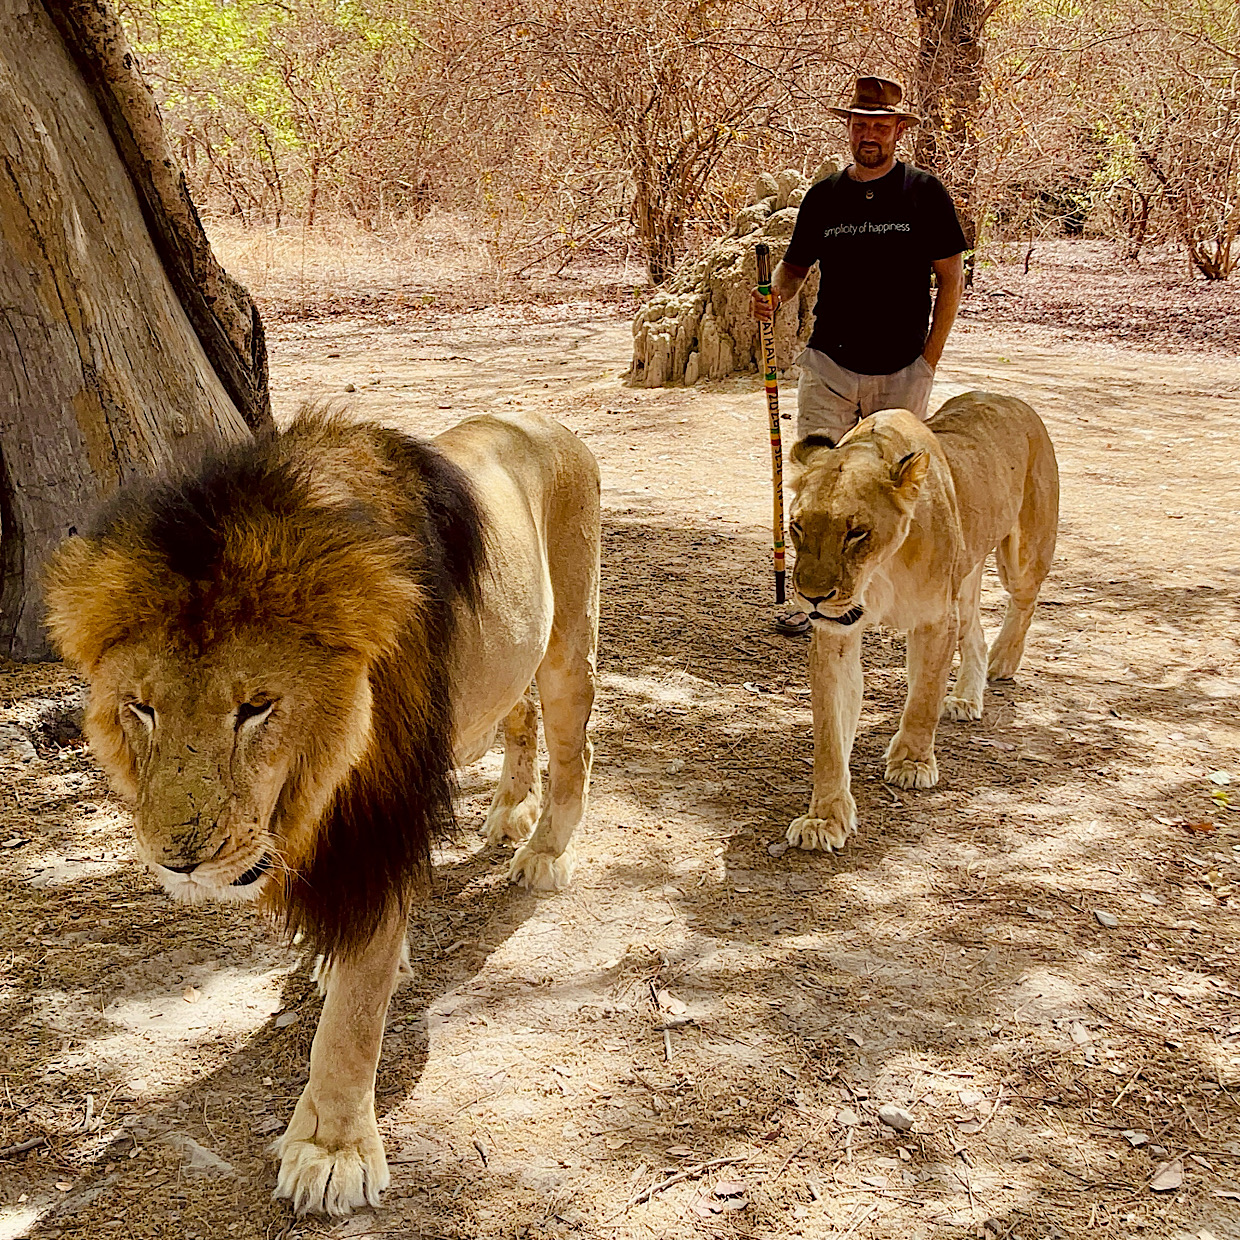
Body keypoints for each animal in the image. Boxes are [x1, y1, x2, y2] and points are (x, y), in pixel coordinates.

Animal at [42, 406, 600, 1216]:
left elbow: (356, 1013)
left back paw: (545, 851)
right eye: (142, 708)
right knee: (516, 712)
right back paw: (507, 810)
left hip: (569, 640)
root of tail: (543, 421)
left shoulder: (381, 815)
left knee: (572, 741)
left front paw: (330, 1148)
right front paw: (334, 967)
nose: (180, 860)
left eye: (256, 707)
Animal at [784, 392, 1059, 852]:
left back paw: (1004, 661)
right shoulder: (836, 635)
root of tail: (1007, 397)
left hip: (1022, 555)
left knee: (1024, 601)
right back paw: (966, 698)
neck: (880, 570)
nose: (813, 597)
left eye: (856, 532)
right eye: (797, 526)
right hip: (964, 580)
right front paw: (825, 817)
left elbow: (924, 699)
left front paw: (912, 763)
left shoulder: (934, 620)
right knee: (975, 635)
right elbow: (830, 734)